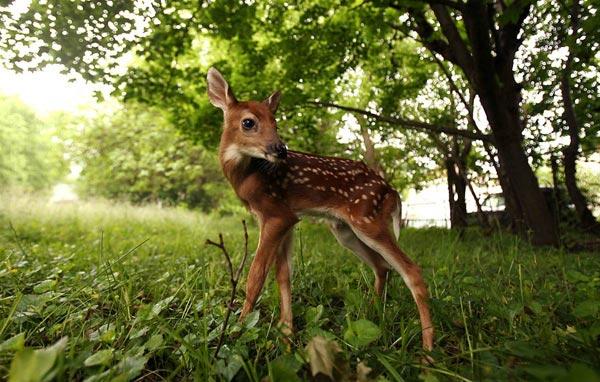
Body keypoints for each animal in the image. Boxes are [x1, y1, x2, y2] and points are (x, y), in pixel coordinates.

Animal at [209, 67, 434, 354]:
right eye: (248, 122)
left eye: (275, 123)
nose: (280, 149)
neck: (249, 177)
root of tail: (391, 190)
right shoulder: (284, 218)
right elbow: (283, 275)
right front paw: (287, 337)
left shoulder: (276, 213)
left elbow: (256, 275)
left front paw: (236, 332)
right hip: (344, 228)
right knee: (382, 266)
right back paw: (373, 312)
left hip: (367, 218)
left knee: (411, 270)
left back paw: (428, 351)